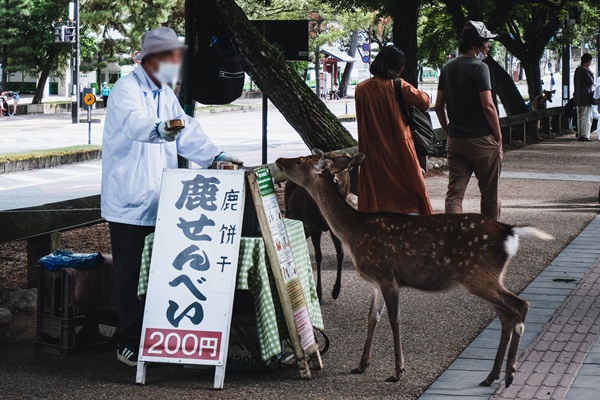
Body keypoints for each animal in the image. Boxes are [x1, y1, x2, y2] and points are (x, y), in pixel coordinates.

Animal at [284, 151, 364, 304]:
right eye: (329, 165)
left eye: (348, 166)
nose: (334, 178)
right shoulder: (314, 226)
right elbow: (319, 256)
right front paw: (319, 293)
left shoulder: (333, 228)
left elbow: (341, 254)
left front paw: (336, 291)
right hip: (291, 214)